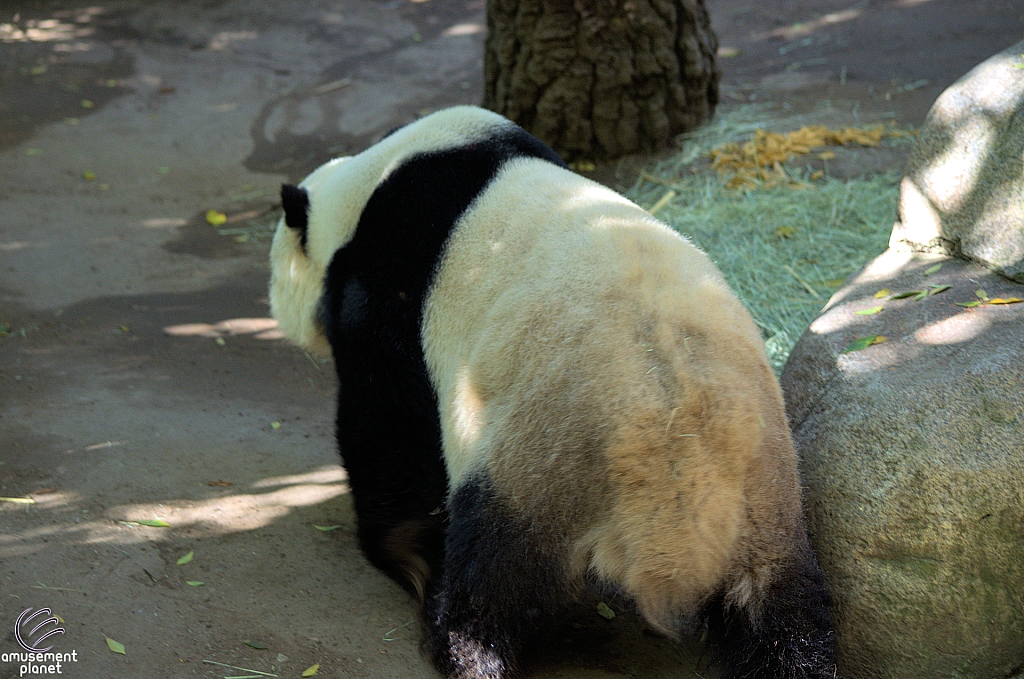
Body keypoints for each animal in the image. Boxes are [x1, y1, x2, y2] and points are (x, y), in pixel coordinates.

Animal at [268, 106, 835, 679]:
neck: (372, 181)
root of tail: (683, 497)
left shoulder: (388, 292)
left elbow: (387, 430)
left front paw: (403, 553)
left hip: (539, 464)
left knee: (492, 571)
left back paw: (458, 644)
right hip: (766, 498)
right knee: (781, 615)